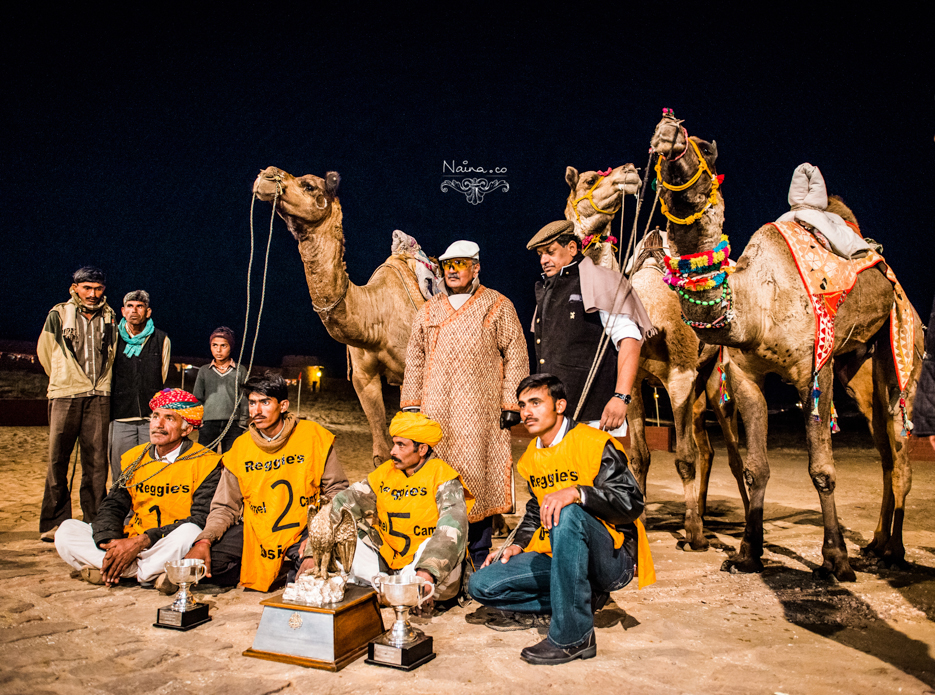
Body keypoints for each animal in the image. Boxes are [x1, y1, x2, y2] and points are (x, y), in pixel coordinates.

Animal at [648, 113, 924, 580]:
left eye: (704, 148)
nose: (667, 131)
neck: (757, 304)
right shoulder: (746, 375)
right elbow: (755, 468)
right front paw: (747, 553)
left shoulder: (814, 369)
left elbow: (822, 468)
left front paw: (835, 559)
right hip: (857, 369)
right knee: (885, 451)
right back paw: (875, 544)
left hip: (902, 349)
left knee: (901, 449)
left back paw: (895, 551)